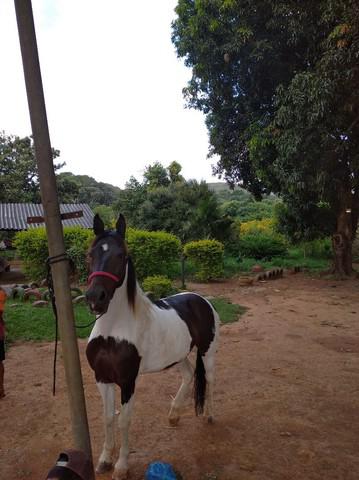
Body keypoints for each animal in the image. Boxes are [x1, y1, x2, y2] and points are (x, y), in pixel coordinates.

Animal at [85, 215, 219, 480]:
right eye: (90, 254)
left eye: (121, 255)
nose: (96, 297)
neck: (112, 331)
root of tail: (201, 299)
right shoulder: (102, 378)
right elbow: (107, 418)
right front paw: (104, 460)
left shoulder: (128, 382)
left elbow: (124, 421)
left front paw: (121, 466)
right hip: (179, 355)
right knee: (189, 375)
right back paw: (174, 415)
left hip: (207, 351)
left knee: (208, 379)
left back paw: (209, 415)